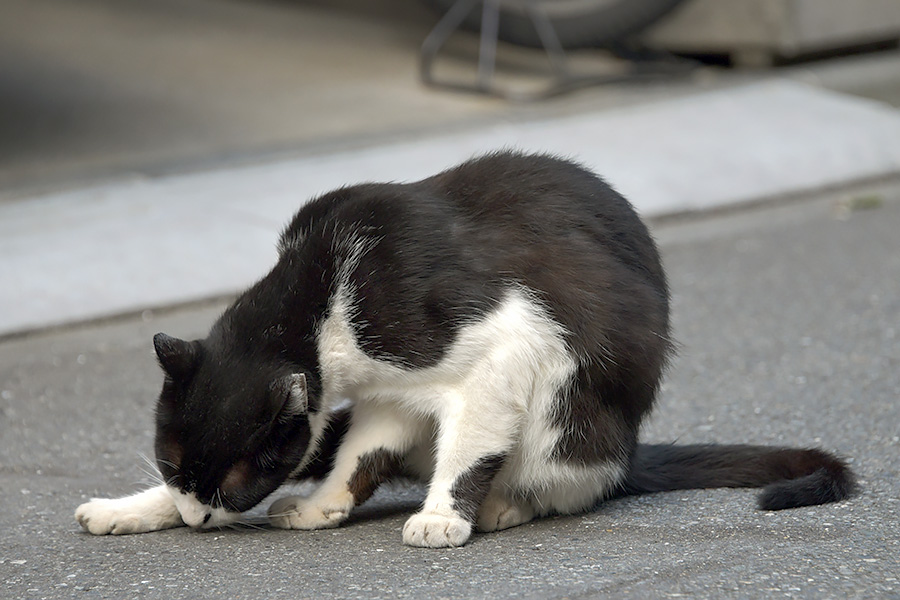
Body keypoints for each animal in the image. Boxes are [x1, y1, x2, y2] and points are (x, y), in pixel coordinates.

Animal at [74, 151, 856, 548]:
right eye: (173, 462)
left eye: (237, 481)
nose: (198, 518)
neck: (323, 297)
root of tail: (631, 449)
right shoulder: (386, 395)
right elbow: (358, 456)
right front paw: (323, 506)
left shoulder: (506, 341)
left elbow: (470, 448)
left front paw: (444, 516)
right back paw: (124, 509)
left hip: (571, 419)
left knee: (566, 479)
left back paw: (507, 506)